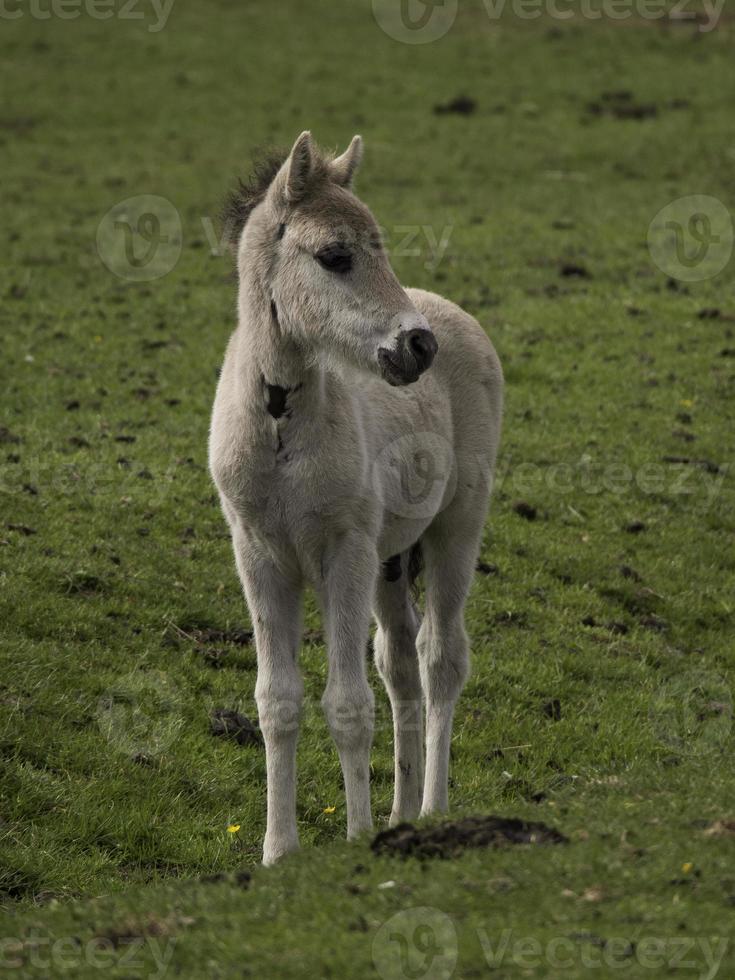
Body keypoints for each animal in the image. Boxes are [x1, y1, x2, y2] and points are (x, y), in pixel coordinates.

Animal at [210, 132, 504, 864]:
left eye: (382, 248)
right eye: (335, 257)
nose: (417, 344)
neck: (281, 424)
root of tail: (450, 311)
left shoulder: (343, 552)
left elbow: (347, 701)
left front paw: (355, 835)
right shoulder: (260, 557)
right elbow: (277, 700)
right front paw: (279, 851)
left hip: (456, 528)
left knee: (438, 658)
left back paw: (430, 810)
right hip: (389, 561)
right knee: (398, 663)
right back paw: (402, 814)